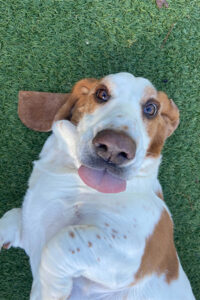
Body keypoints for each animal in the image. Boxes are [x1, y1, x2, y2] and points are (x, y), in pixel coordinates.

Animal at [0, 73, 195, 300]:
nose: (114, 148)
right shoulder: (32, 225)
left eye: (151, 108)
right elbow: (12, 217)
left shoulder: (134, 252)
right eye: (101, 94)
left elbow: (62, 241)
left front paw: (49, 290)